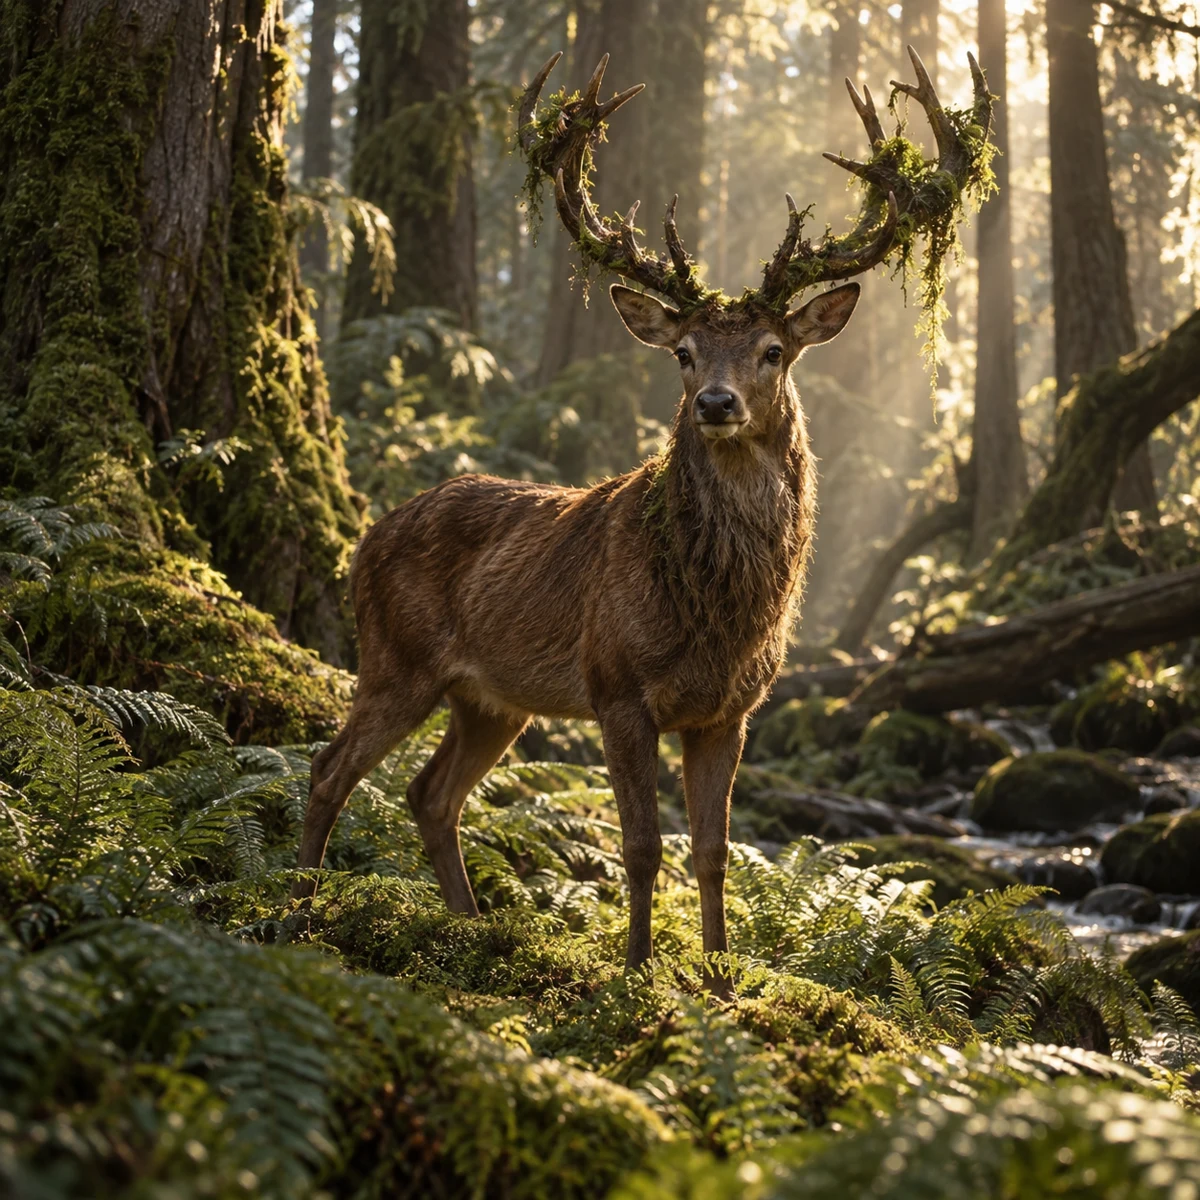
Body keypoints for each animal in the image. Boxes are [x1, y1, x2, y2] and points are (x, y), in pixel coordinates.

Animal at [293, 48, 992, 993]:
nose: (716, 403)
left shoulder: (732, 709)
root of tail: (364, 537)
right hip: (395, 657)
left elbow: (713, 852)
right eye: (684, 352)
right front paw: (633, 972)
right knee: (328, 769)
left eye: (774, 350)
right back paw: (297, 906)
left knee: (428, 794)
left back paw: (472, 927)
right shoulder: (618, 685)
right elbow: (640, 847)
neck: (716, 611)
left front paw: (722, 979)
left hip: (491, 698)